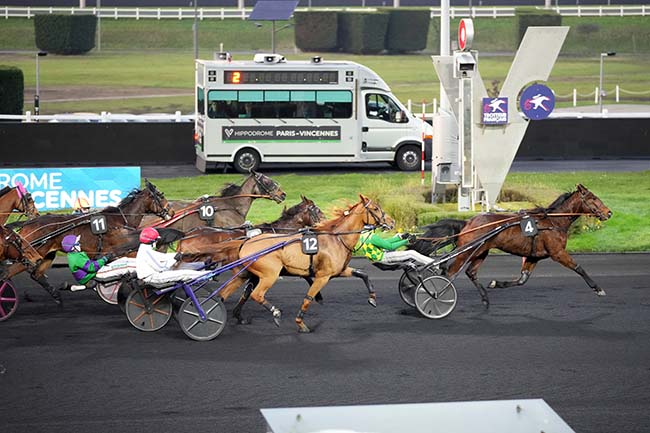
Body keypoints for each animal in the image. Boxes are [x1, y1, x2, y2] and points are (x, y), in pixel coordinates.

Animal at [5, 179, 172, 304]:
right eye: (160, 195)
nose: (171, 211)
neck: (119, 221)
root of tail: (29, 223)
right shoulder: (119, 249)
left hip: (47, 254)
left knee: (36, 274)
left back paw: (56, 296)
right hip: (30, 253)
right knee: (8, 273)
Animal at [233, 194, 392, 332]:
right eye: (375, 208)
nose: (392, 222)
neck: (337, 239)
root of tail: (246, 242)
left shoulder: (339, 270)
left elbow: (363, 274)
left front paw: (372, 298)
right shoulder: (323, 276)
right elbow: (307, 298)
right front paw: (301, 323)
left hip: (258, 274)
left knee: (247, 292)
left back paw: (238, 315)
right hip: (270, 275)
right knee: (256, 294)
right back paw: (276, 313)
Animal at [422, 182, 612, 308]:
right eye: (593, 198)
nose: (609, 212)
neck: (554, 221)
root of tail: (467, 223)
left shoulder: (533, 256)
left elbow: (522, 280)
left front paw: (496, 283)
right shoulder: (557, 252)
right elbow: (579, 268)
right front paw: (598, 288)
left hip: (480, 251)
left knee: (471, 272)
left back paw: (485, 298)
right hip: (466, 251)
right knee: (450, 273)